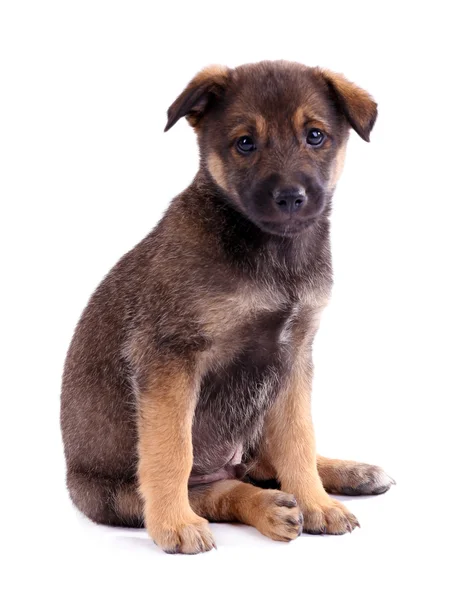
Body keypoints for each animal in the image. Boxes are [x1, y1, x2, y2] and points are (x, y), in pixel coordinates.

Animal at [59, 61, 392, 552]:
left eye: (315, 136)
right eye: (245, 143)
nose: (290, 197)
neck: (270, 251)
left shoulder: (294, 356)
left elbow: (298, 440)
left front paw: (317, 503)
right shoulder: (169, 357)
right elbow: (172, 451)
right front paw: (174, 523)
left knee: (266, 462)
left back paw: (347, 474)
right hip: (117, 495)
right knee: (218, 490)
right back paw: (266, 507)